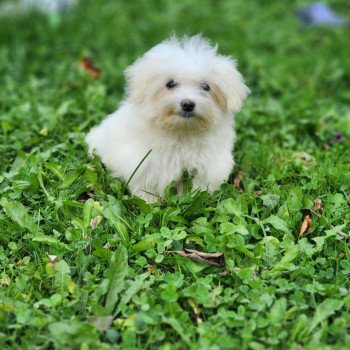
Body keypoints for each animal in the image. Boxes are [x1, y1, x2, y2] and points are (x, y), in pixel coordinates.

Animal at [85, 34, 249, 202]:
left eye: (205, 87)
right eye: (170, 84)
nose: (188, 104)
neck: (181, 131)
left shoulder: (206, 167)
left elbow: (200, 187)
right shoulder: (145, 163)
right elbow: (146, 186)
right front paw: (150, 203)